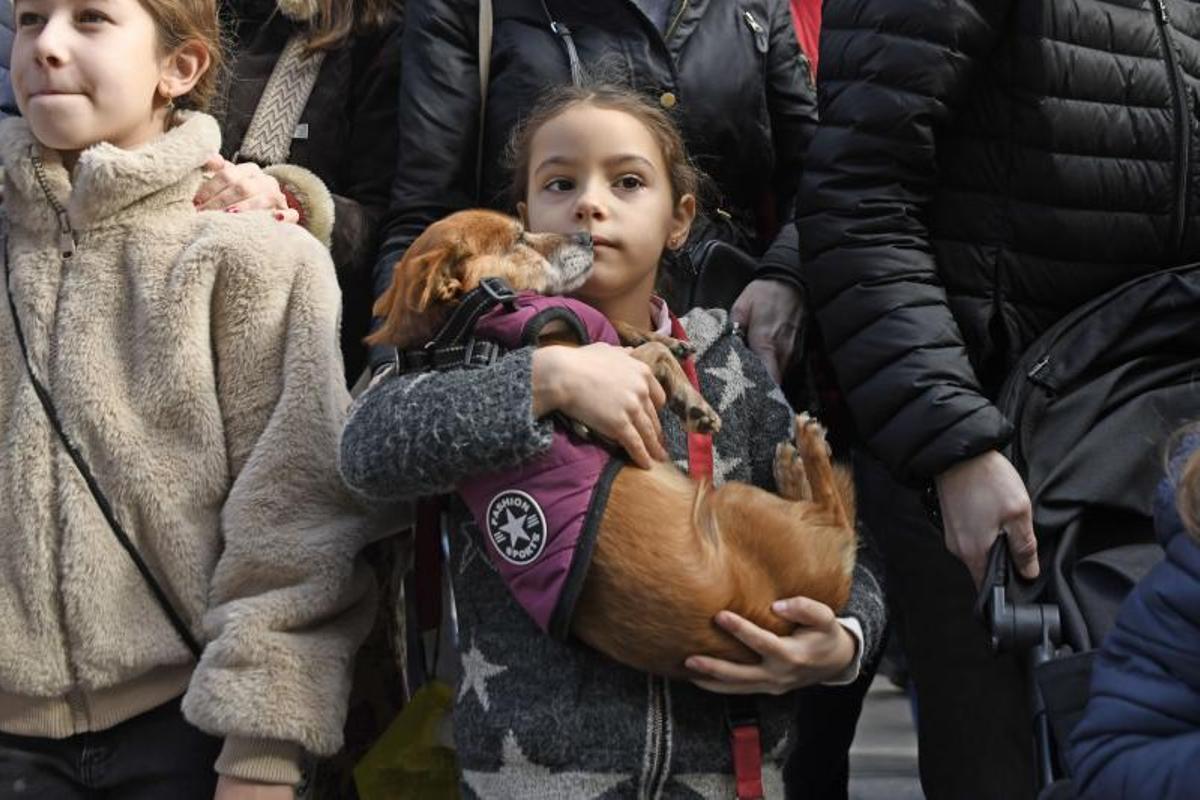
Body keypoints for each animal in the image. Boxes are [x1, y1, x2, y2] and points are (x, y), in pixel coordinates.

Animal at [369, 209, 859, 681]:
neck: (468, 334)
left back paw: (790, 465)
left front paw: (660, 337)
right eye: (519, 240)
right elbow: (647, 357)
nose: (587, 236)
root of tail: (830, 586)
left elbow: (617, 325)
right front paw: (691, 399)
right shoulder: (607, 369)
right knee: (834, 510)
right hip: (742, 502)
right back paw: (805, 448)